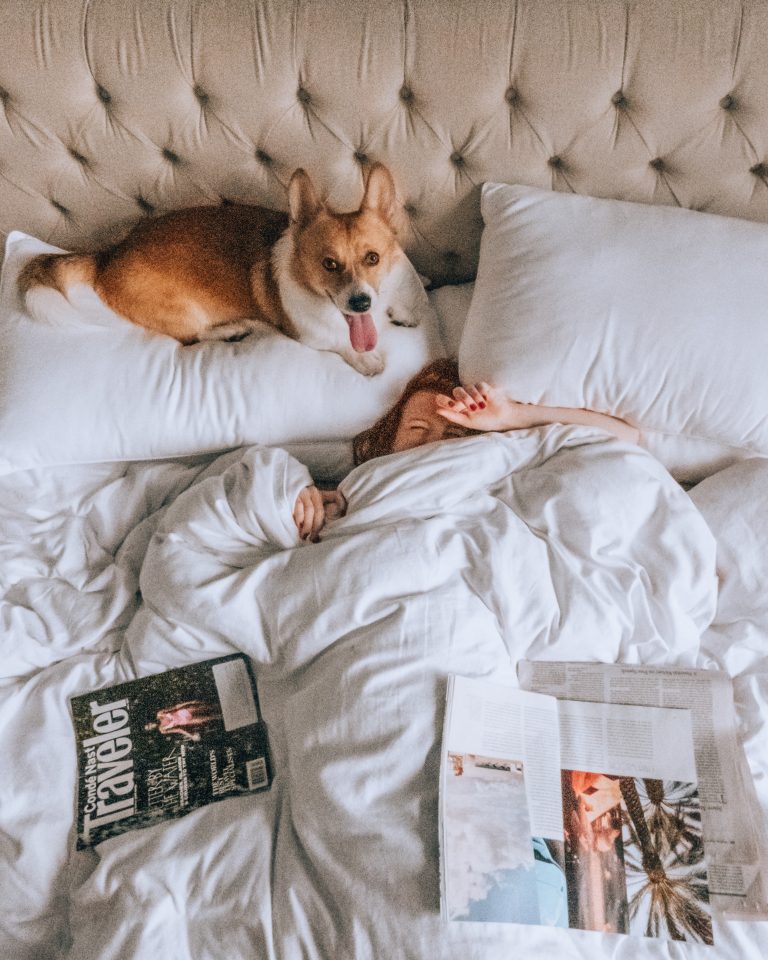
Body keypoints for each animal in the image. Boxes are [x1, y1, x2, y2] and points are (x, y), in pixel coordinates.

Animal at [16, 165, 414, 376]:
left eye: (373, 258)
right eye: (329, 264)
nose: (361, 303)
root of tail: (109, 254)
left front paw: (403, 309)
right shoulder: (310, 336)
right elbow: (339, 344)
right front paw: (366, 359)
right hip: (183, 312)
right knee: (190, 337)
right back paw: (233, 329)